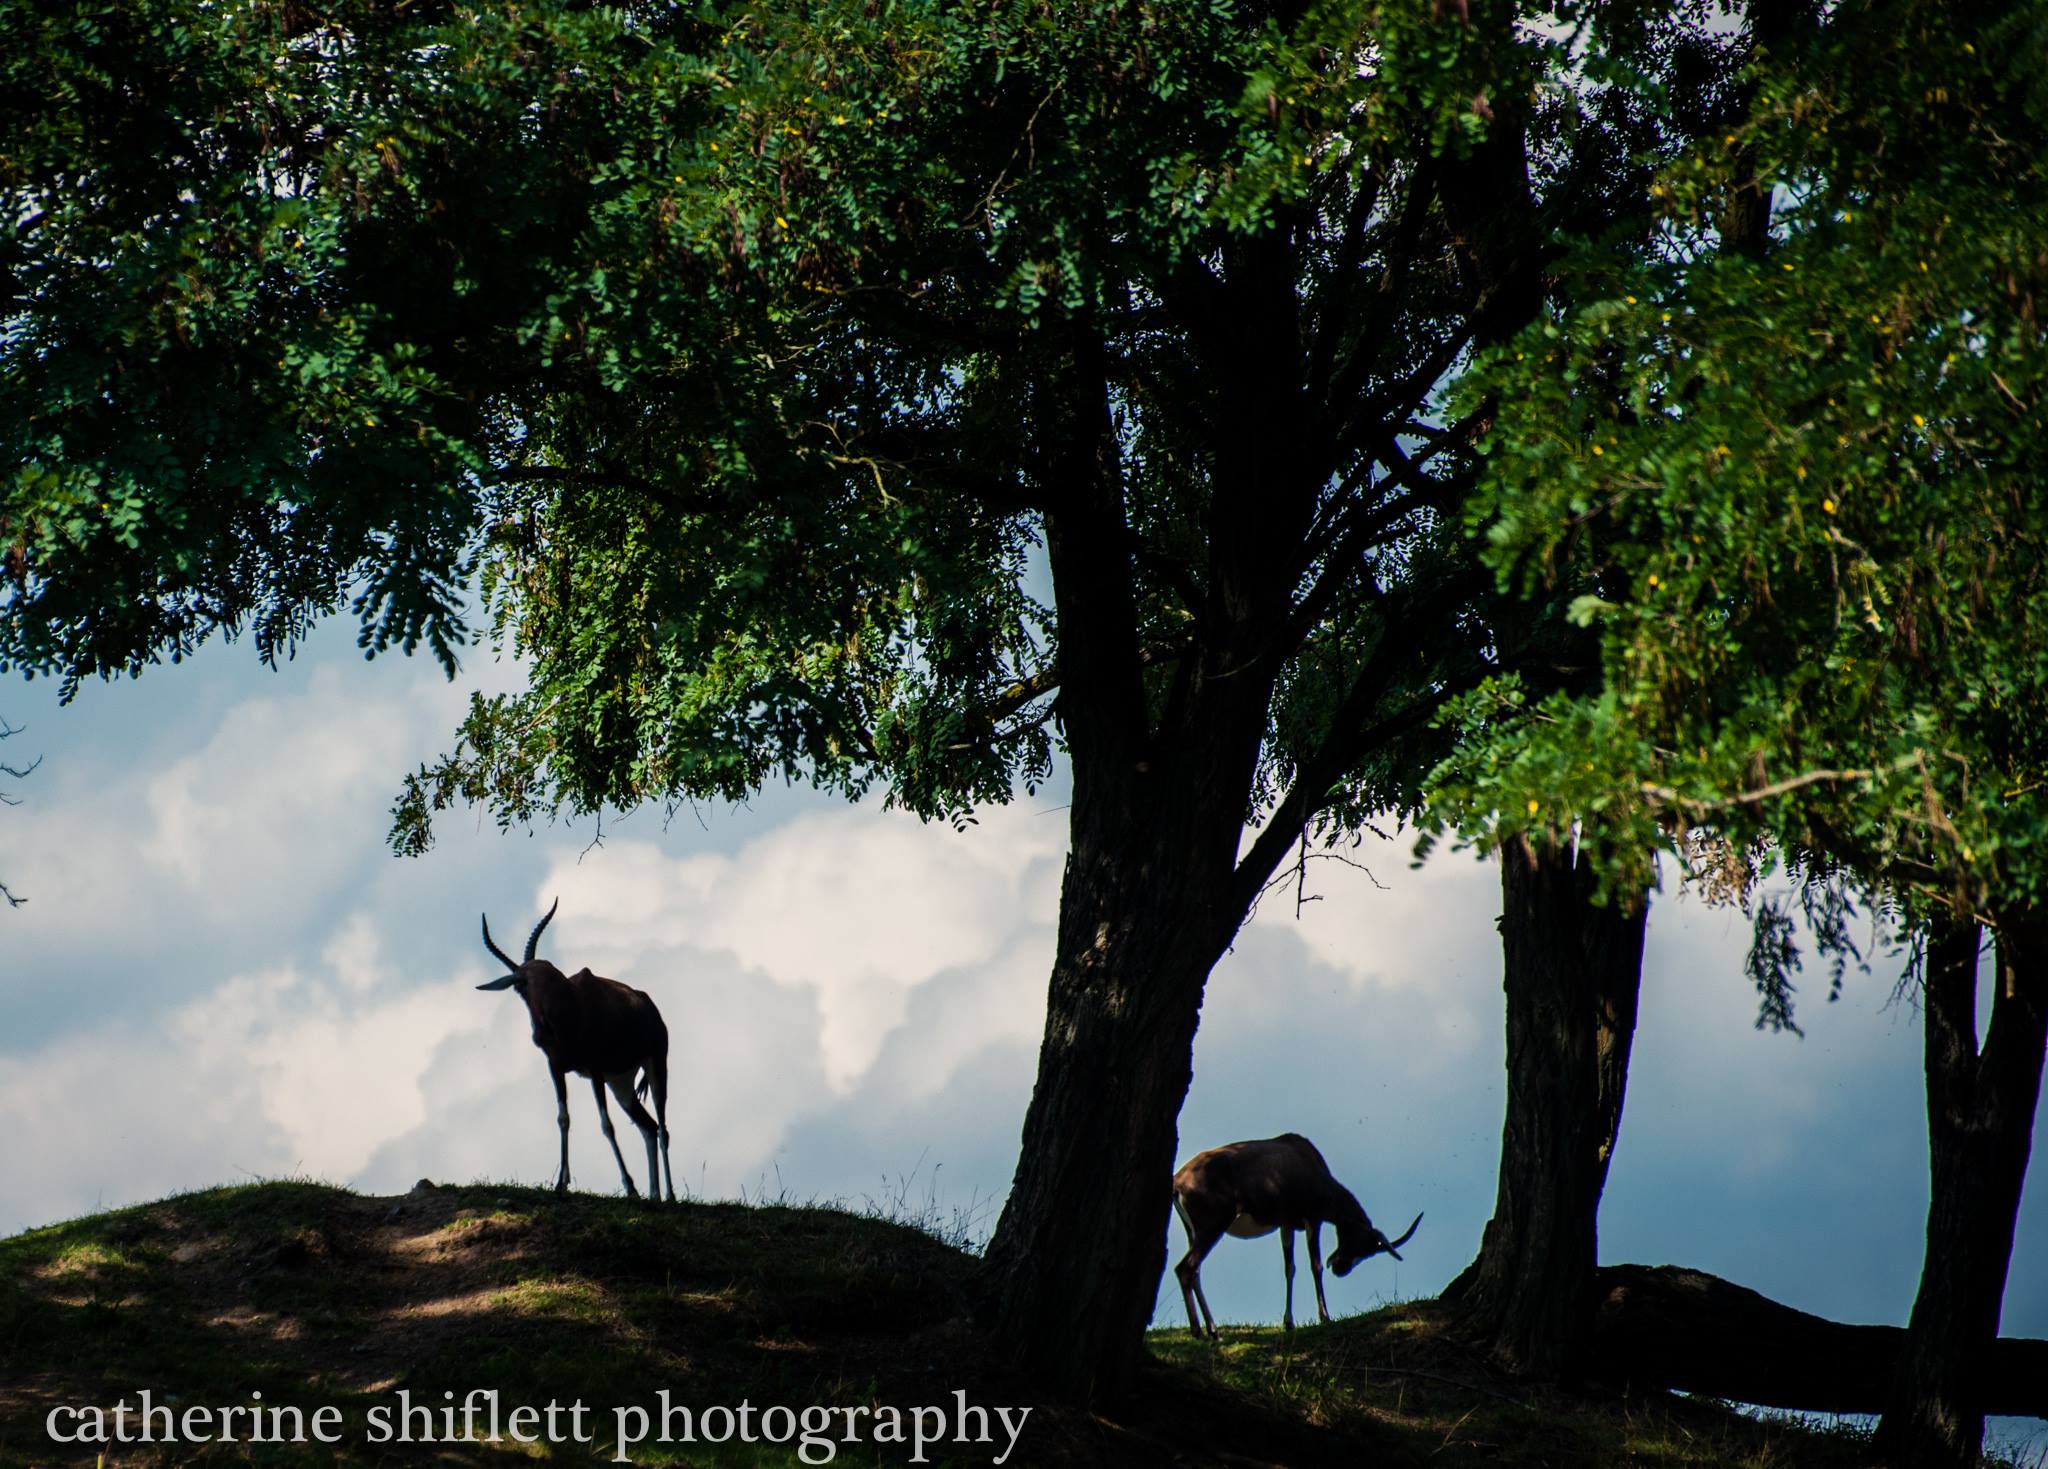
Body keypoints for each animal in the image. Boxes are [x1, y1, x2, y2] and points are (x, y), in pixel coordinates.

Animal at [475, 901, 675, 1196]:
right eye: (520, 985)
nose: (539, 1033)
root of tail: (646, 1003)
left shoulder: (595, 1070)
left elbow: (606, 1125)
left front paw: (629, 1187)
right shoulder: (557, 1068)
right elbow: (563, 1118)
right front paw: (561, 1184)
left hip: (656, 1064)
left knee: (662, 1128)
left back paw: (669, 1195)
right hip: (621, 1083)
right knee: (648, 1127)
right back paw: (654, 1196)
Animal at [1179, 1130, 1417, 1335]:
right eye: (1361, 1242)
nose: (1340, 1268)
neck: (1308, 1161)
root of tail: (1178, 1181)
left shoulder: (1287, 1226)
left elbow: (1289, 1268)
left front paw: (1289, 1322)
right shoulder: (1313, 1221)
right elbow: (1315, 1266)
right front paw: (1325, 1317)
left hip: (1194, 1233)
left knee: (1195, 1271)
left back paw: (1212, 1329)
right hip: (1212, 1228)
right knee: (1185, 1268)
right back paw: (1201, 1332)